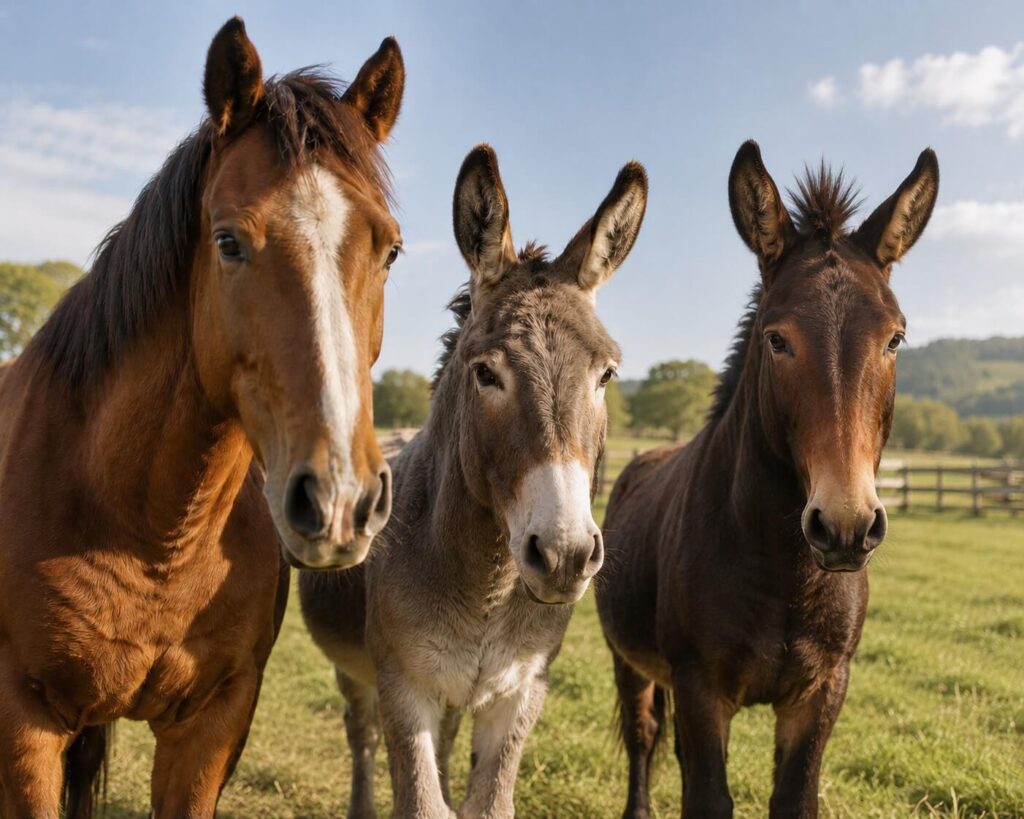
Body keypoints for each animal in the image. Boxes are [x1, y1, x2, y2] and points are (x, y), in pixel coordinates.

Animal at [0, 18, 404, 818]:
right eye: (228, 242)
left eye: (392, 250)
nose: (340, 499)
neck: (149, 534)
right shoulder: (24, 723)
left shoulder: (213, 724)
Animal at [299, 144, 648, 819]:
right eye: (486, 373)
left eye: (607, 375)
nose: (566, 554)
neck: (487, 584)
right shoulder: (403, 683)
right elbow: (421, 801)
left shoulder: (520, 690)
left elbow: (487, 804)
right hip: (358, 673)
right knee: (362, 736)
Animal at [595, 141, 939, 818]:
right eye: (776, 340)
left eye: (895, 339)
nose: (846, 527)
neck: (788, 571)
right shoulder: (701, 690)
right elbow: (706, 797)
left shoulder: (821, 691)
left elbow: (795, 798)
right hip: (630, 661)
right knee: (643, 735)